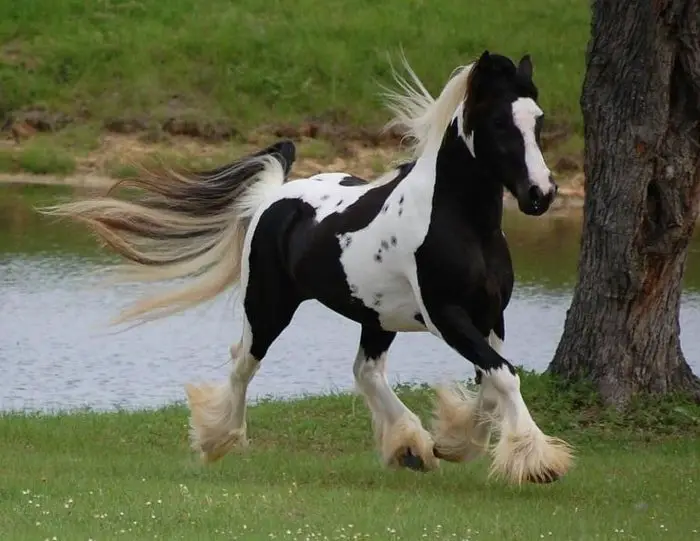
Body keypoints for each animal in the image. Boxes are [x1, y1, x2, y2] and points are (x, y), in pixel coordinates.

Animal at [45, 49, 576, 480]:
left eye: (538, 120)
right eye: (499, 124)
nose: (541, 194)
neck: (459, 222)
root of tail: (273, 197)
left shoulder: (491, 314)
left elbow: (493, 378)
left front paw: (455, 442)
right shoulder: (447, 315)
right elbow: (503, 374)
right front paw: (538, 463)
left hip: (375, 316)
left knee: (365, 372)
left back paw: (409, 446)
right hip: (269, 306)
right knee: (243, 363)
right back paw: (218, 440)